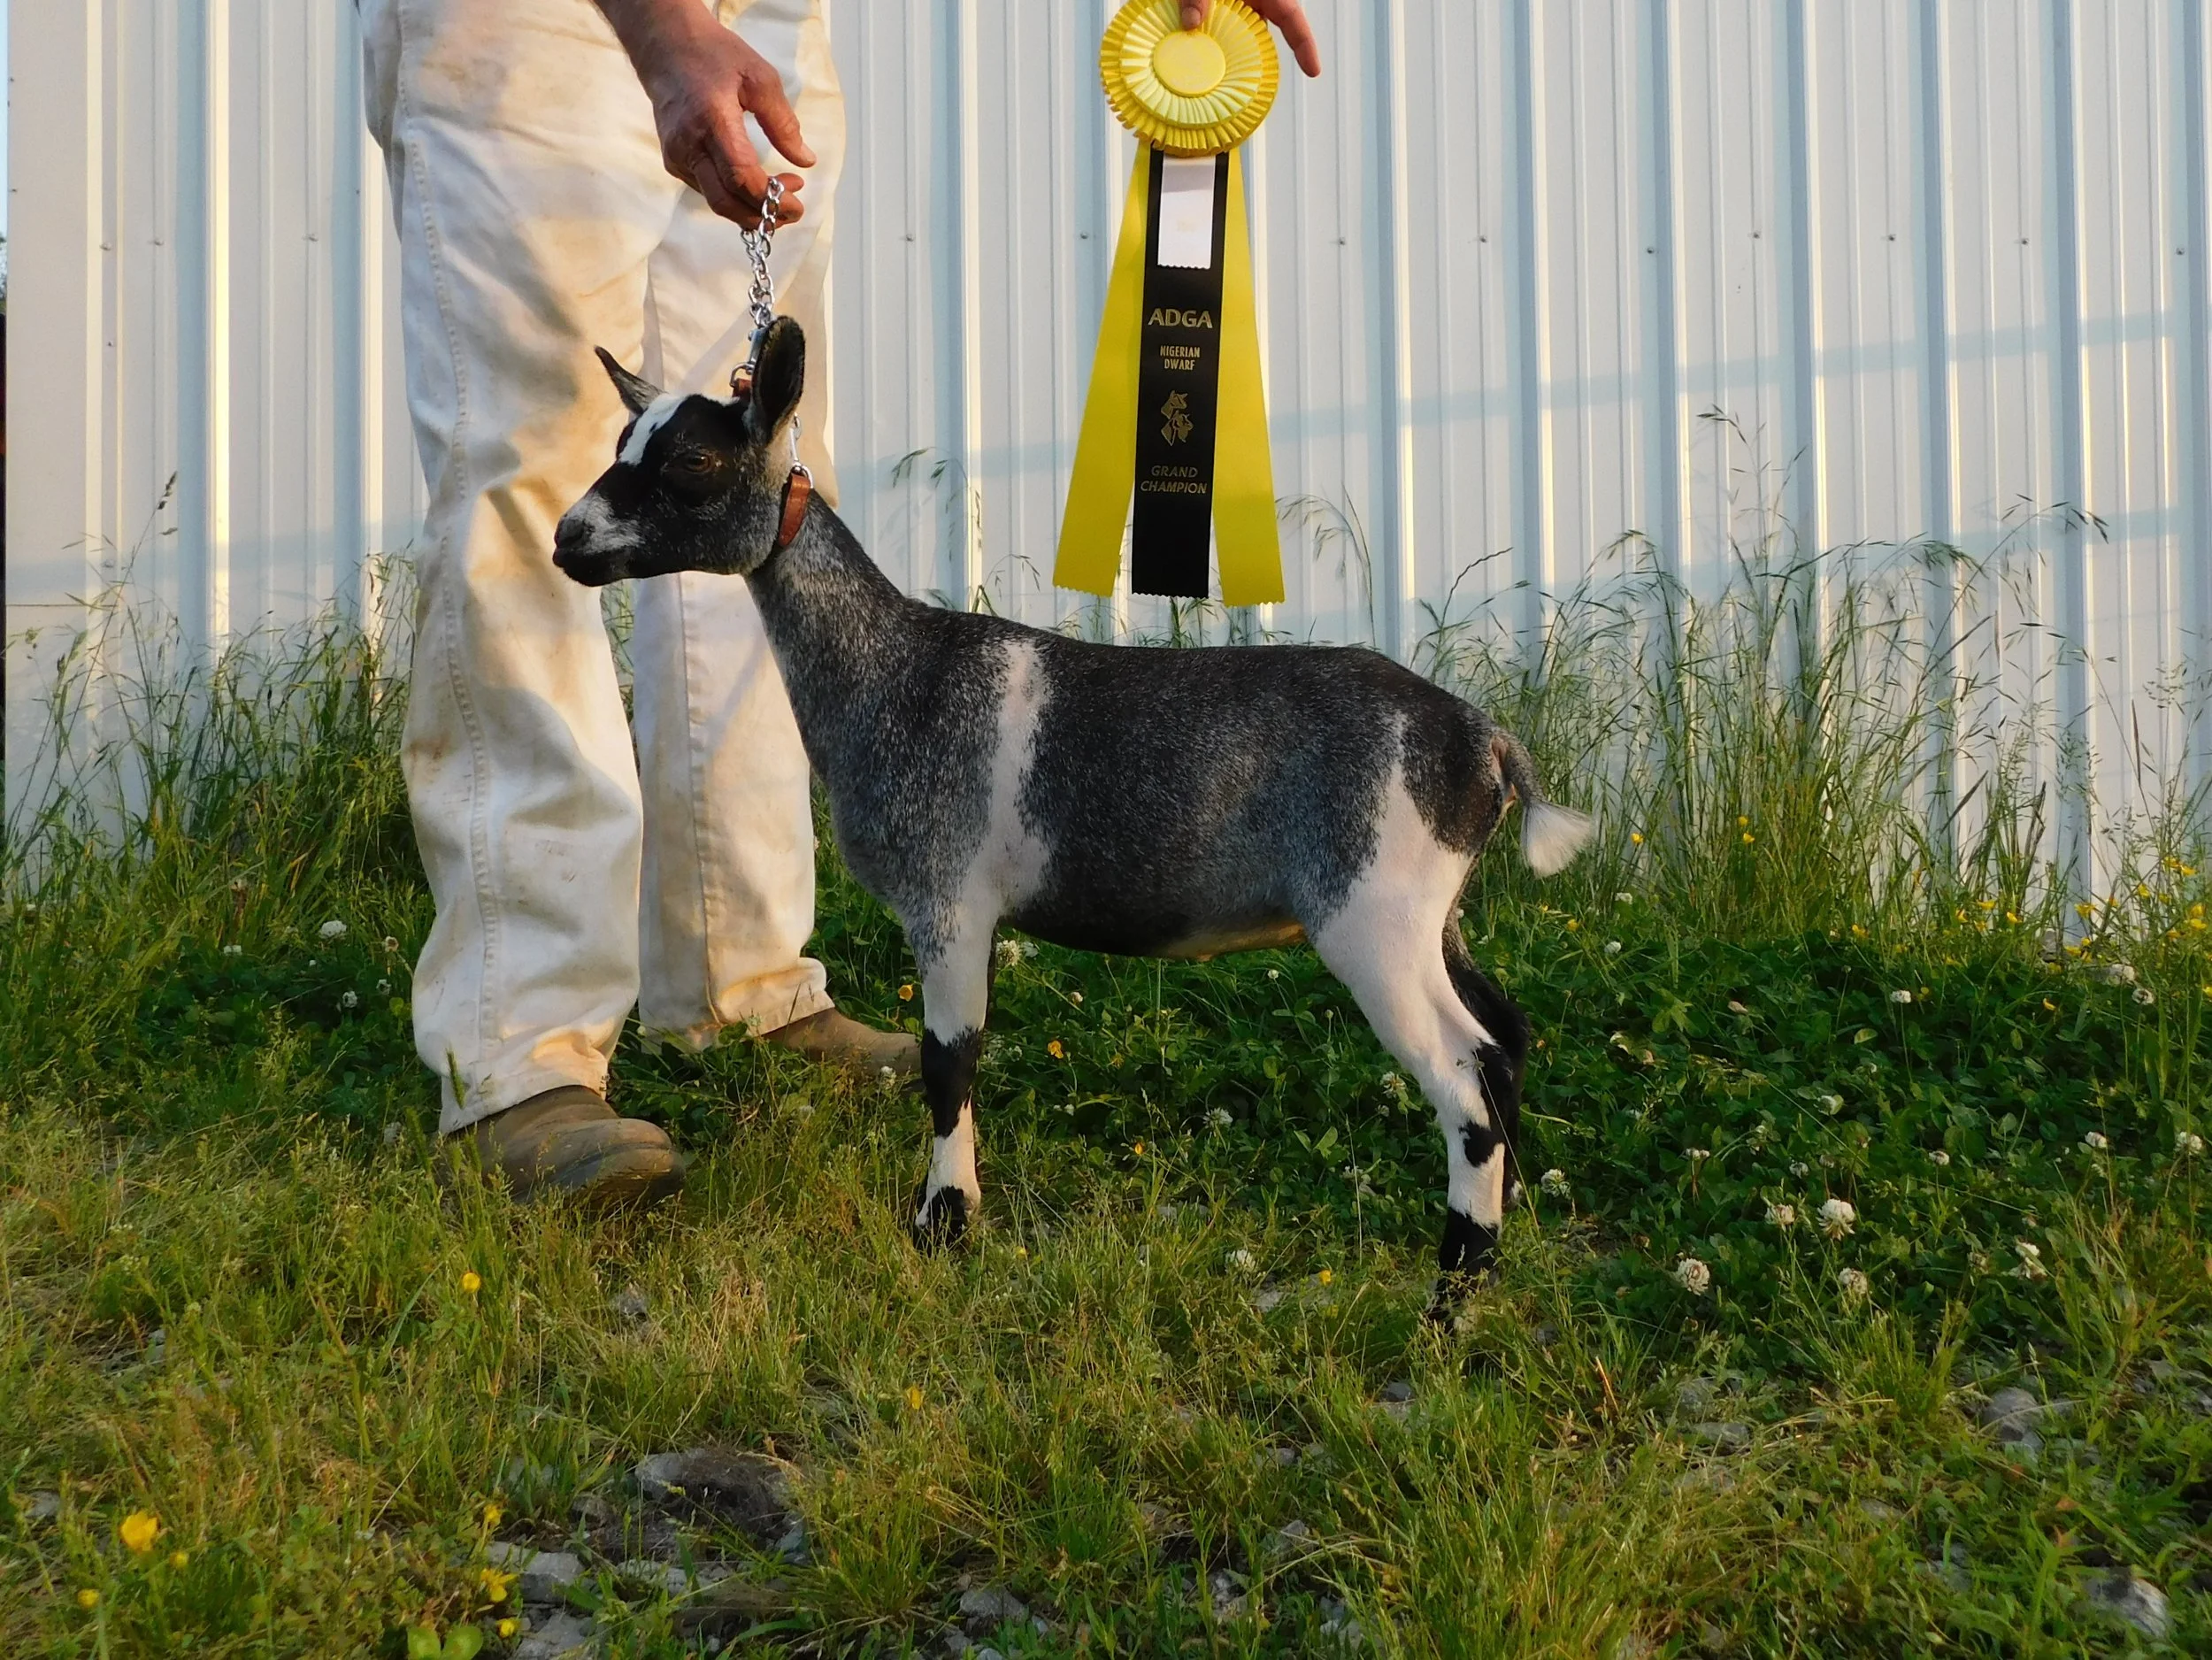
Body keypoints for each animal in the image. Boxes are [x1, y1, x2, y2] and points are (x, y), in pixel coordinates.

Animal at [553, 317, 1592, 1299]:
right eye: (622, 438)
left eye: (691, 462)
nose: (567, 538)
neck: (897, 672)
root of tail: (1484, 744)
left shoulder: (947, 902)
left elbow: (949, 1060)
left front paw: (941, 1227)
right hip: (1432, 918)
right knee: (1505, 1040)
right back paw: (1505, 1229)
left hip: (1374, 919)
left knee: (1463, 1082)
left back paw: (1451, 1293)